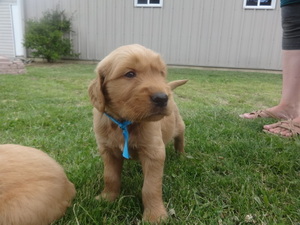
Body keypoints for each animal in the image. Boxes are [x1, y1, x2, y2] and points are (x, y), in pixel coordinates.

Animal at [88, 44, 188, 223]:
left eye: (161, 73)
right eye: (130, 74)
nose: (162, 98)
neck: (125, 122)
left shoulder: (154, 152)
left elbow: (151, 186)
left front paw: (155, 216)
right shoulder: (107, 150)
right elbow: (110, 176)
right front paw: (107, 198)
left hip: (178, 123)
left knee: (180, 138)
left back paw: (181, 155)